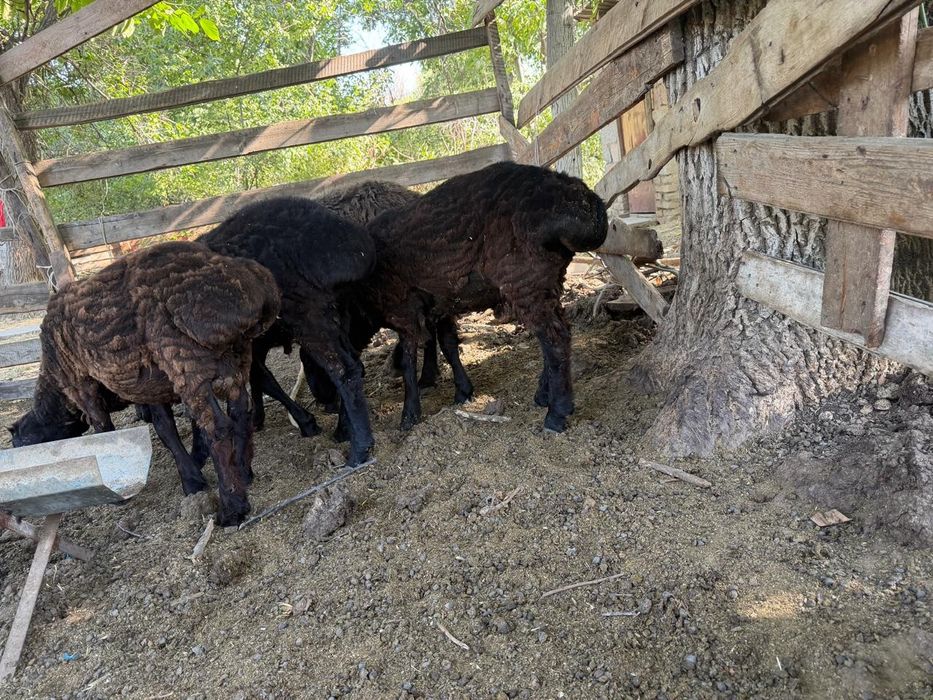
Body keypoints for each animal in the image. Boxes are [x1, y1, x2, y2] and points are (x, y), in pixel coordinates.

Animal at [9, 242, 279, 526]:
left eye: (21, 446)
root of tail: (252, 286)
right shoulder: (149, 385)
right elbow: (166, 426)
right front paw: (193, 470)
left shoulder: (83, 386)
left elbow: (110, 429)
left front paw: (190, 481)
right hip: (235, 357)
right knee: (239, 413)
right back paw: (244, 473)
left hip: (182, 357)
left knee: (218, 428)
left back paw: (232, 508)